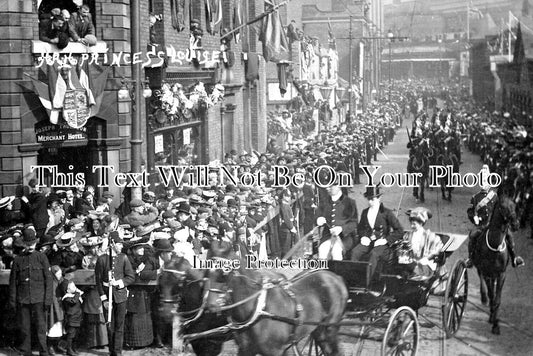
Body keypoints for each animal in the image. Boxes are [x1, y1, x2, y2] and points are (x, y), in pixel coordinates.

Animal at [205, 241, 350, 354]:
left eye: (223, 273)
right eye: (206, 271)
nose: (211, 305)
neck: (259, 309)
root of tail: (335, 277)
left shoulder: (276, 350)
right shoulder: (245, 349)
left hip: (330, 329)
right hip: (319, 330)